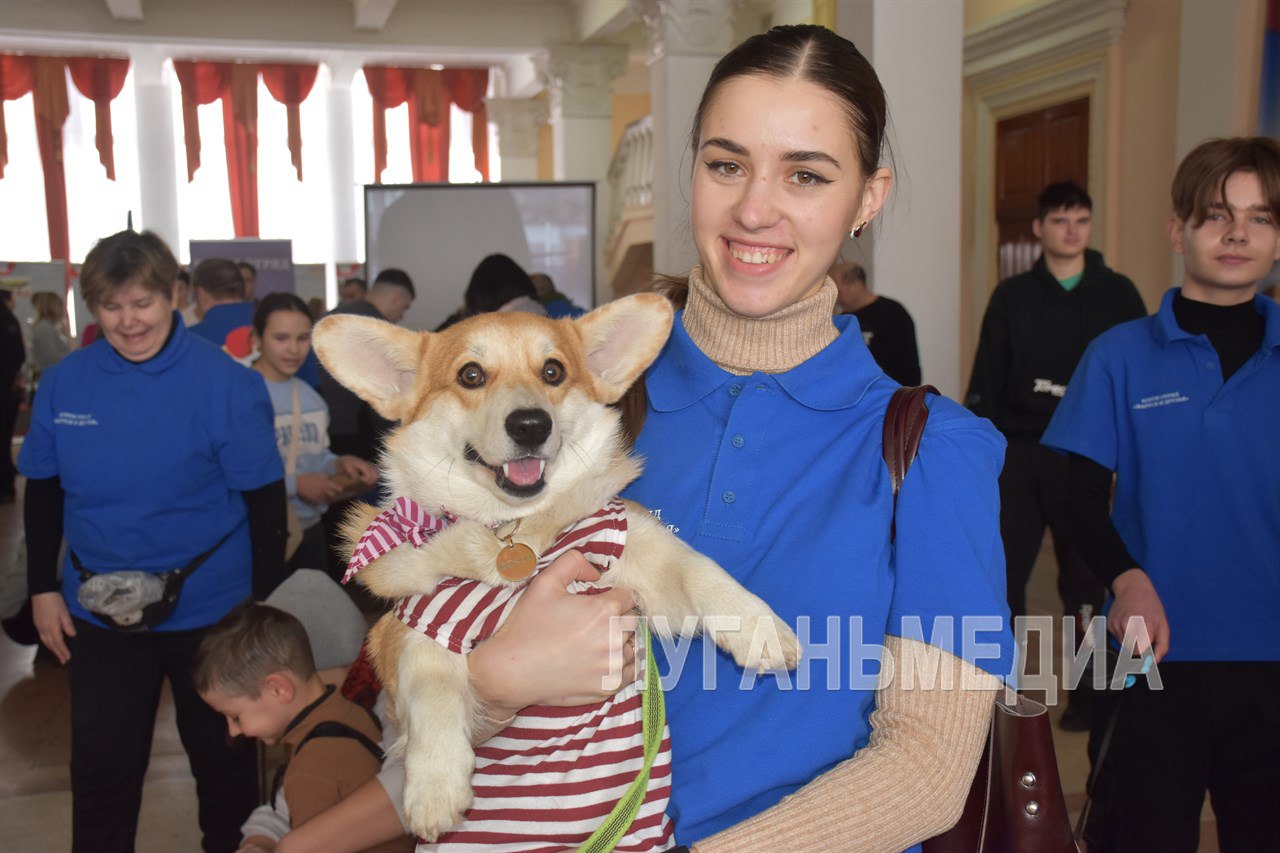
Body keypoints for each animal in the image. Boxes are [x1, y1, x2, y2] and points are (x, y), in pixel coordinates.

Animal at [317, 294, 798, 845]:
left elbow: (700, 572)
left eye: (553, 371)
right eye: (470, 375)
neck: (513, 534)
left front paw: (760, 629)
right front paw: (435, 787)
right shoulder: (413, 621)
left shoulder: (634, 548)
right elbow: (429, 683)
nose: (530, 424)